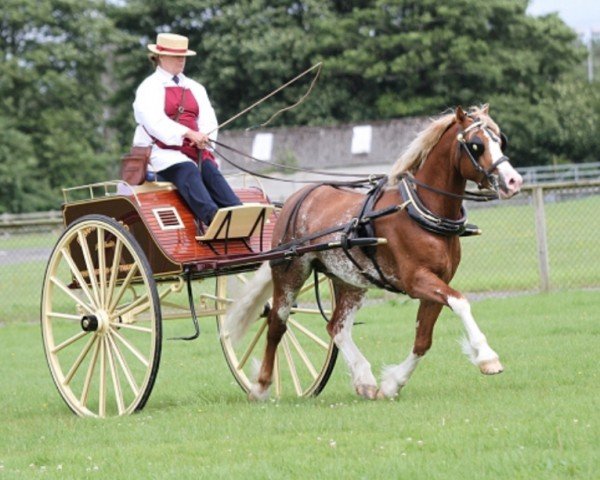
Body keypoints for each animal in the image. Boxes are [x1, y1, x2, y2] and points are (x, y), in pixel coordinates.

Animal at [223, 105, 524, 402]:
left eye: (500, 140)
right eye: (475, 145)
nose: (513, 181)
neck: (419, 209)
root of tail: (296, 198)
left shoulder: (439, 281)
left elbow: (423, 340)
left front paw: (392, 383)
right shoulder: (416, 280)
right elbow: (460, 302)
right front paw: (487, 357)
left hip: (350, 280)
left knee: (337, 327)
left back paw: (364, 380)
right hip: (290, 273)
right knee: (277, 323)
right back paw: (260, 387)